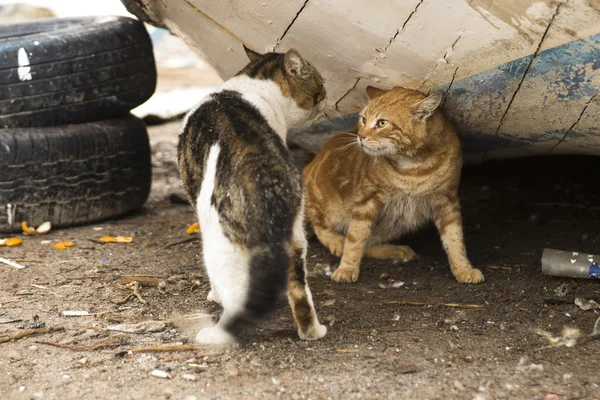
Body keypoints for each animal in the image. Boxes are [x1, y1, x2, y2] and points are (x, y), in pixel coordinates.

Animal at [302, 85, 486, 284]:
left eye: (382, 123)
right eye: (363, 119)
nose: (360, 136)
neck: (414, 165)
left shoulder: (447, 199)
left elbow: (455, 238)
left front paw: (463, 268)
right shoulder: (366, 200)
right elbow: (355, 237)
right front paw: (347, 267)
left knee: (368, 244)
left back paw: (395, 250)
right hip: (324, 205)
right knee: (318, 226)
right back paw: (337, 241)